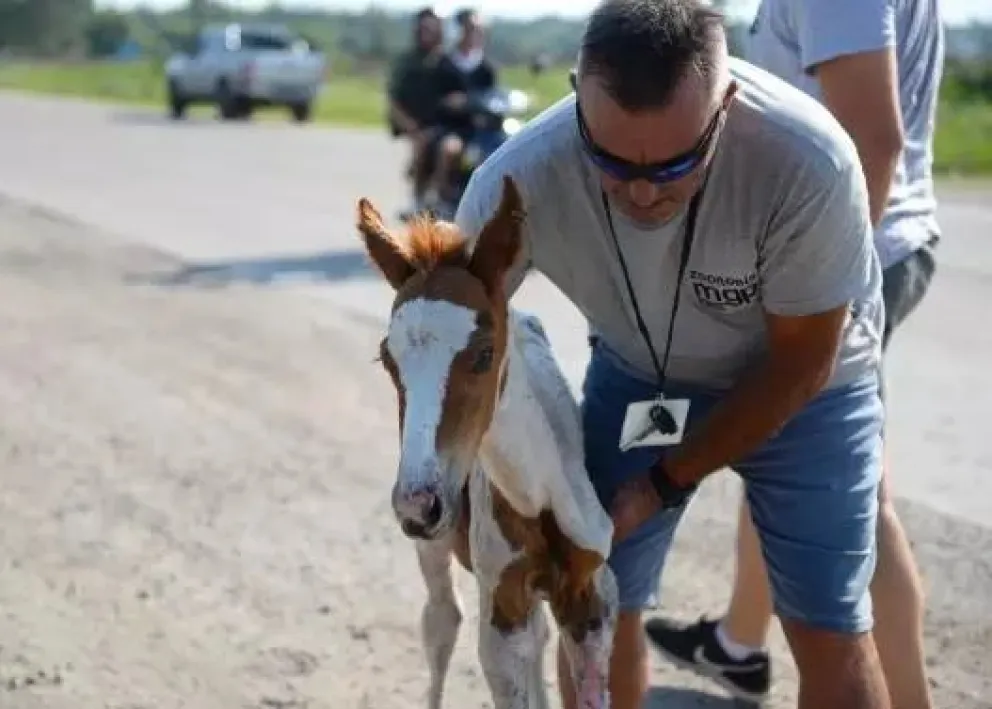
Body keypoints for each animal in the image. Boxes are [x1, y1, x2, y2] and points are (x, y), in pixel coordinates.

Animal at [355, 174, 618, 709]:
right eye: (387, 359)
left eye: (483, 353)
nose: (417, 506)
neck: (537, 495)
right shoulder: (502, 609)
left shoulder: (594, 600)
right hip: (437, 548)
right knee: (442, 621)